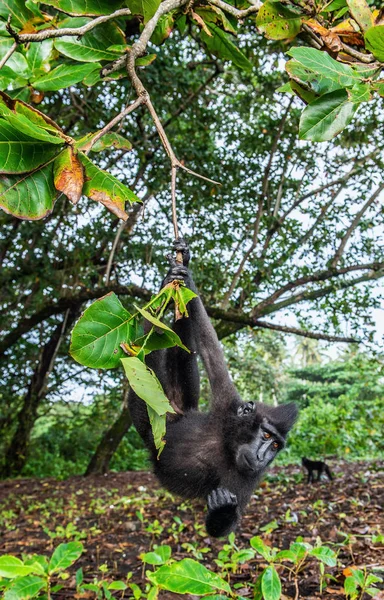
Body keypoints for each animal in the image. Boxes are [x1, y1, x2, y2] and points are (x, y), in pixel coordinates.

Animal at [128, 240, 296, 540]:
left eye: (276, 445)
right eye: (266, 435)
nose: (264, 457)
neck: (228, 443)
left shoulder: (248, 479)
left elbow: (223, 529)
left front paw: (224, 511)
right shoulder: (227, 403)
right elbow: (208, 345)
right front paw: (187, 274)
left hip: (157, 413)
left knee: (157, 361)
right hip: (162, 410)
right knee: (168, 345)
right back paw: (167, 288)